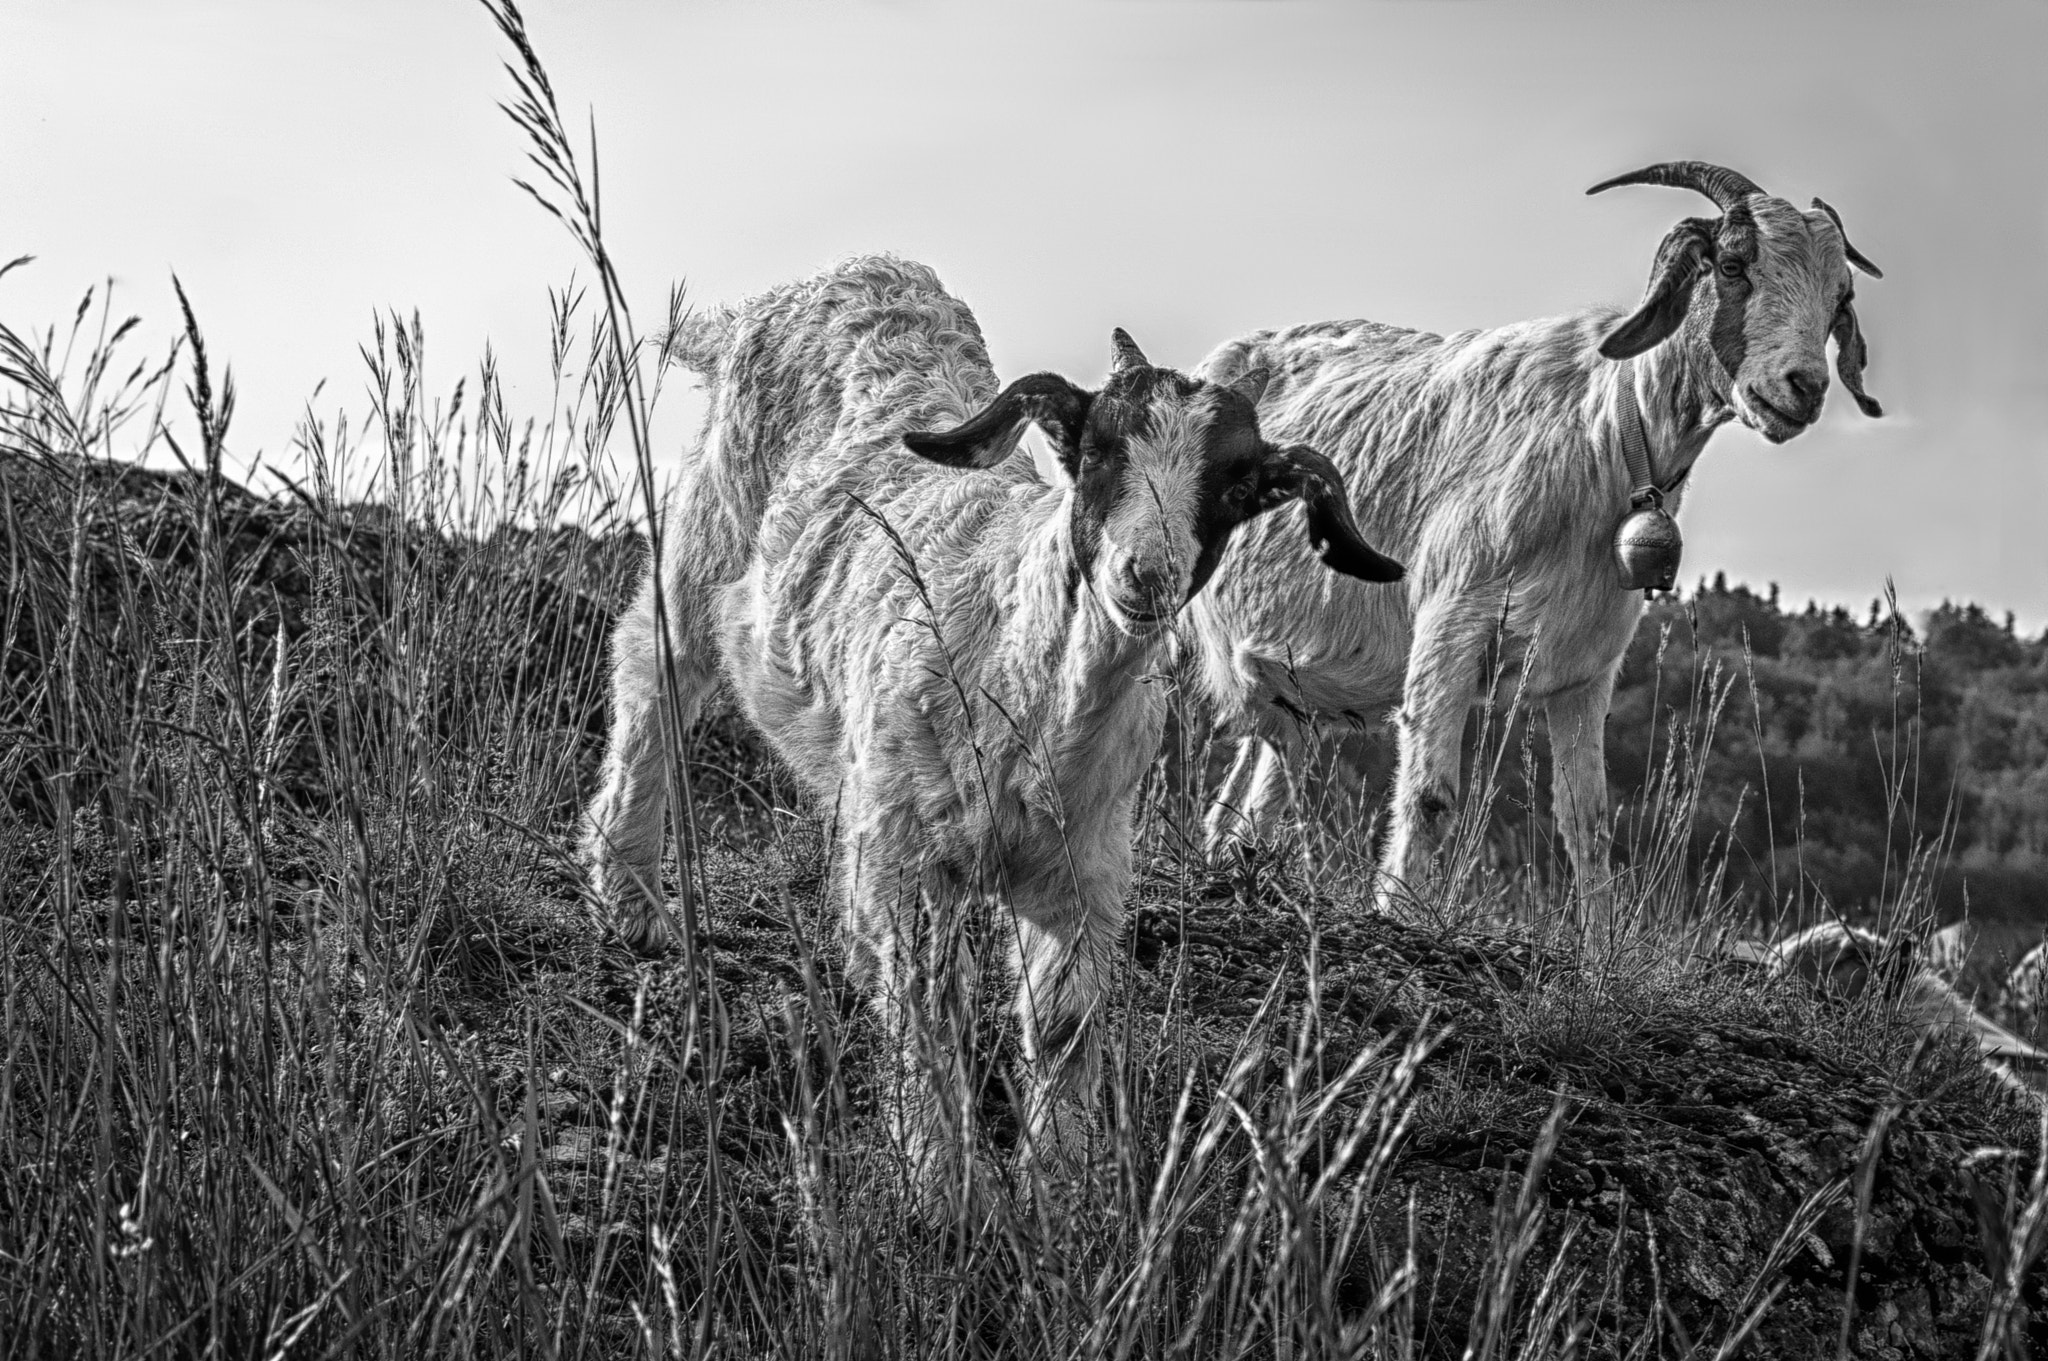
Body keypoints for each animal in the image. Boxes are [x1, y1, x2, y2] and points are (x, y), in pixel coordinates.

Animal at [585, 254, 1400, 1170]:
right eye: (1098, 450)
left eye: (1235, 486)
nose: (1144, 575)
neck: (1032, 690)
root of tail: (844, 274)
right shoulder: (910, 855)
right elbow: (930, 1007)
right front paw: (936, 1174)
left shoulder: (1083, 871)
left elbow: (1062, 1025)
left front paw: (1061, 1180)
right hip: (709, 529)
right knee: (650, 665)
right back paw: (631, 895)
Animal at [1187, 164, 1884, 908]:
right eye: (1731, 266)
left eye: (1840, 299)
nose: (1803, 388)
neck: (1603, 430)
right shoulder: (1451, 621)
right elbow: (1429, 797)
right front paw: (1395, 913)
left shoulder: (1586, 665)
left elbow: (1588, 825)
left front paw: (1600, 934)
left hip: (1289, 689)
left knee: (1246, 794)